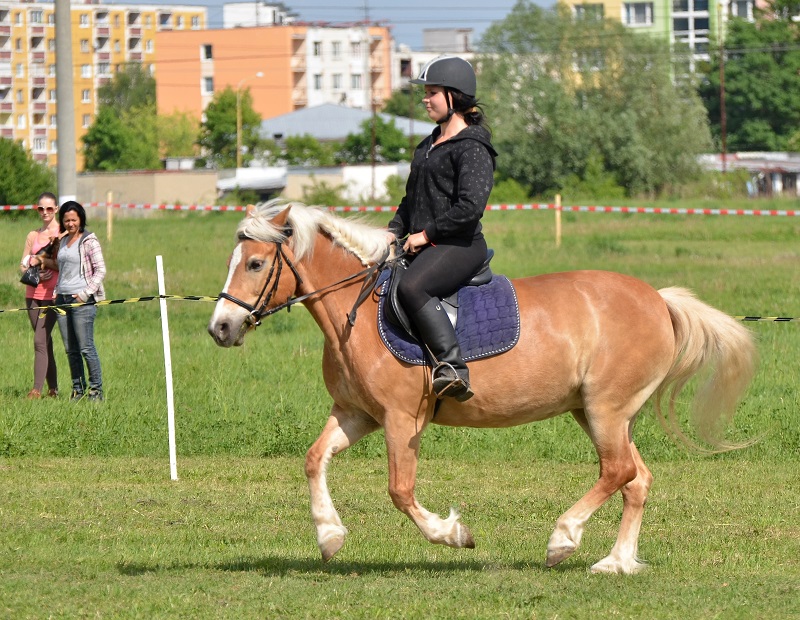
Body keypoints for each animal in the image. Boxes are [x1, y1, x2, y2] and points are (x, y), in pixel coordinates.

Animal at [208, 200, 757, 575]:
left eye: (255, 264)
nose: (220, 328)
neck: (358, 311)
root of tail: (658, 300)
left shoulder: (402, 419)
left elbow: (400, 490)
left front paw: (453, 534)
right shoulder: (355, 413)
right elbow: (313, 459)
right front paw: (329, 536)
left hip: (607, 408)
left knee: (618, 471)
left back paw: (563, 539)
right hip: (598, 412)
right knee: (636, 478)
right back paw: (616, 562)